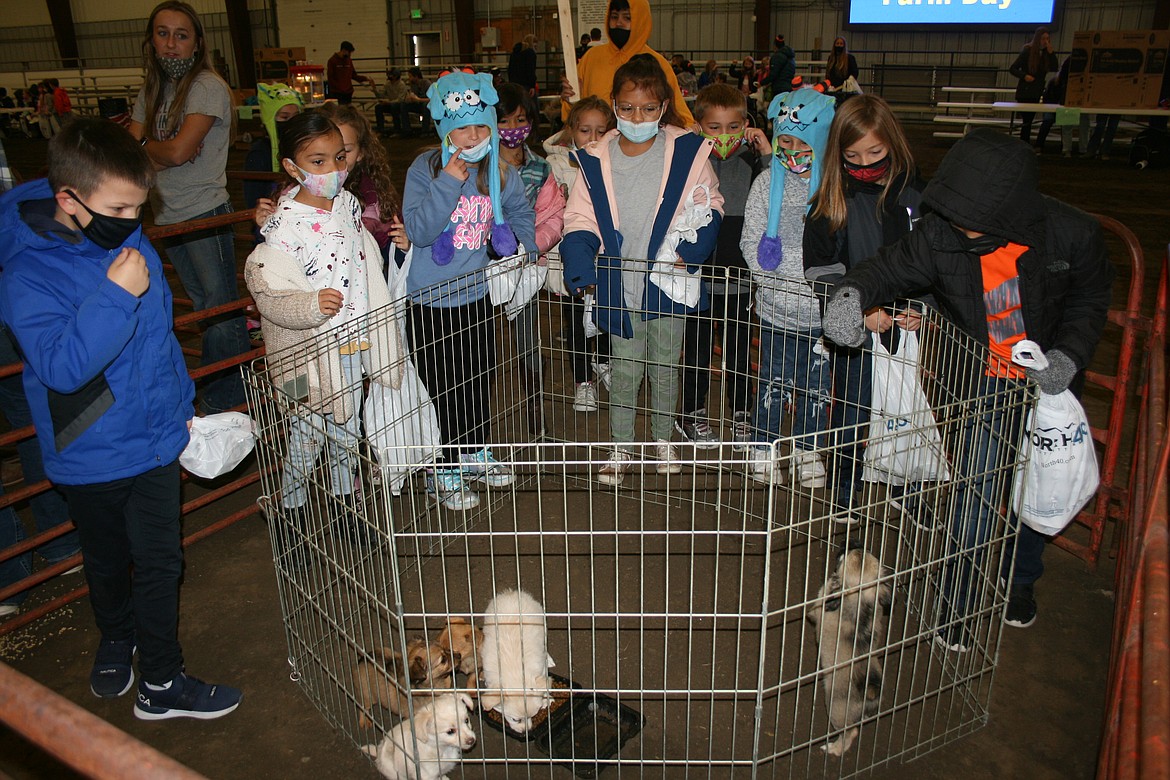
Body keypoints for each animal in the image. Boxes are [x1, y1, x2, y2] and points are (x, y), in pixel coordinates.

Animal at [477, 589, 554, 734]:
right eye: (515, 720)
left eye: (533, 716)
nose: (526, 731)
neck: (516, 674)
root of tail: (512, 593)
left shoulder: (540, 668)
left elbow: (544, 682)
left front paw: (546, 699)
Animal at [809, 542, 889, 757]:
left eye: (842, 558)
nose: (853, 542)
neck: (860, 598)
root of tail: (870, 688)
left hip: (836, 709)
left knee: (850, 733)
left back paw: (833, 748)